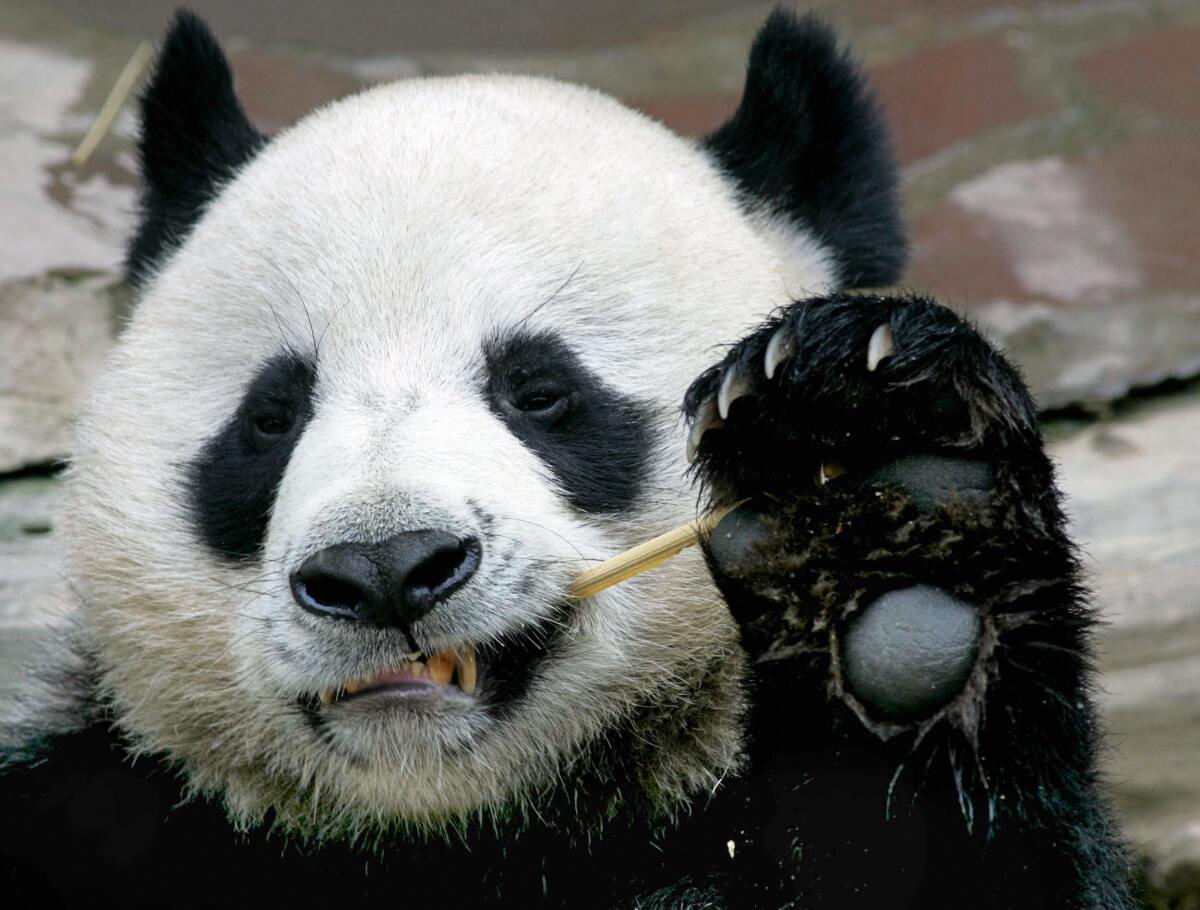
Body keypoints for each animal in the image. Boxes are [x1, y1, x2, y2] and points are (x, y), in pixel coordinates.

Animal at [0, 8, 1132, 910]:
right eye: (271, 416)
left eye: (540, 391)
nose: (383, 569)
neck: (454, 833)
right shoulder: (111, 814)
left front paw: (879, 490)